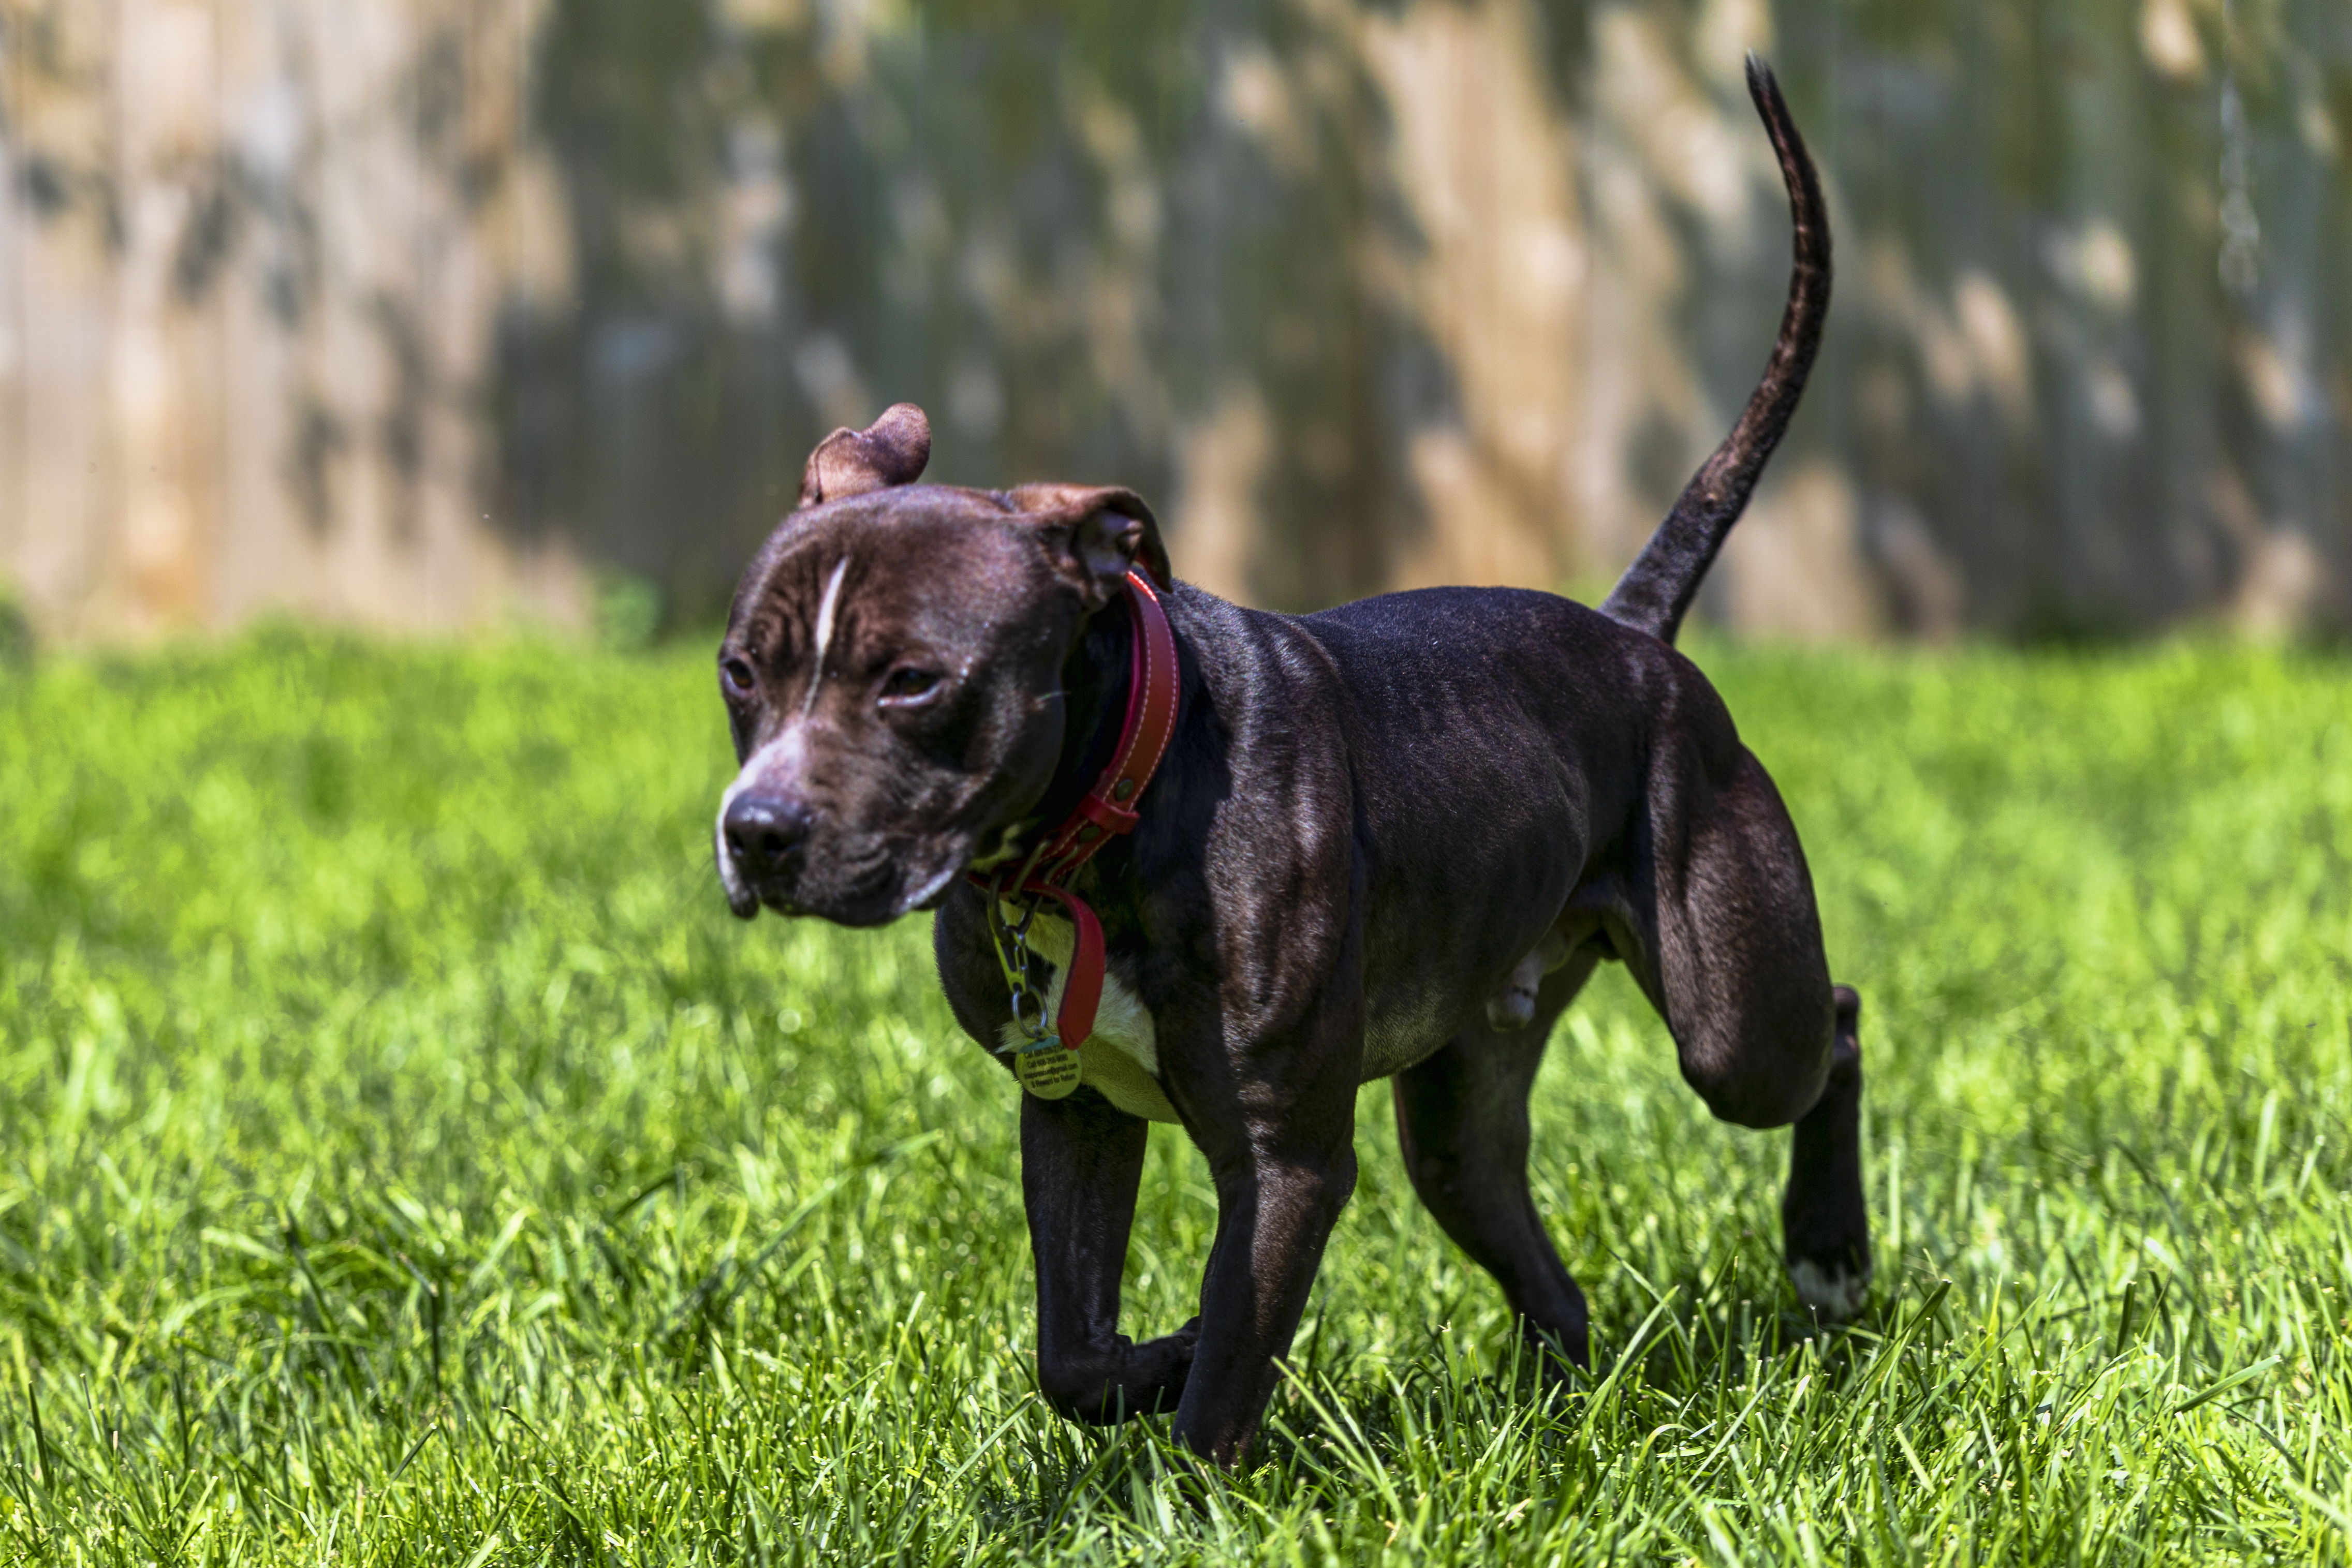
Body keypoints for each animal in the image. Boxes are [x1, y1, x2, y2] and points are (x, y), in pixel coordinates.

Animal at [705, 55, 1862, 1467]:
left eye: (913, 679)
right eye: (740, 673)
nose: (758, 831)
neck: (1106, 819)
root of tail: (1634, 635)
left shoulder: (1284, 1160)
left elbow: (1222, 1378)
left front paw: (1188, 1464)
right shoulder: (1073, 1113)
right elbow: (1072, 1353)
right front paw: (1158, 1357)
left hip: (1734, 1025)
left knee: (1833, 1028)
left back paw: (1829, 1257)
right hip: (1461, 1105)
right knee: (1532, 1253)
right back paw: (1557, 1400)